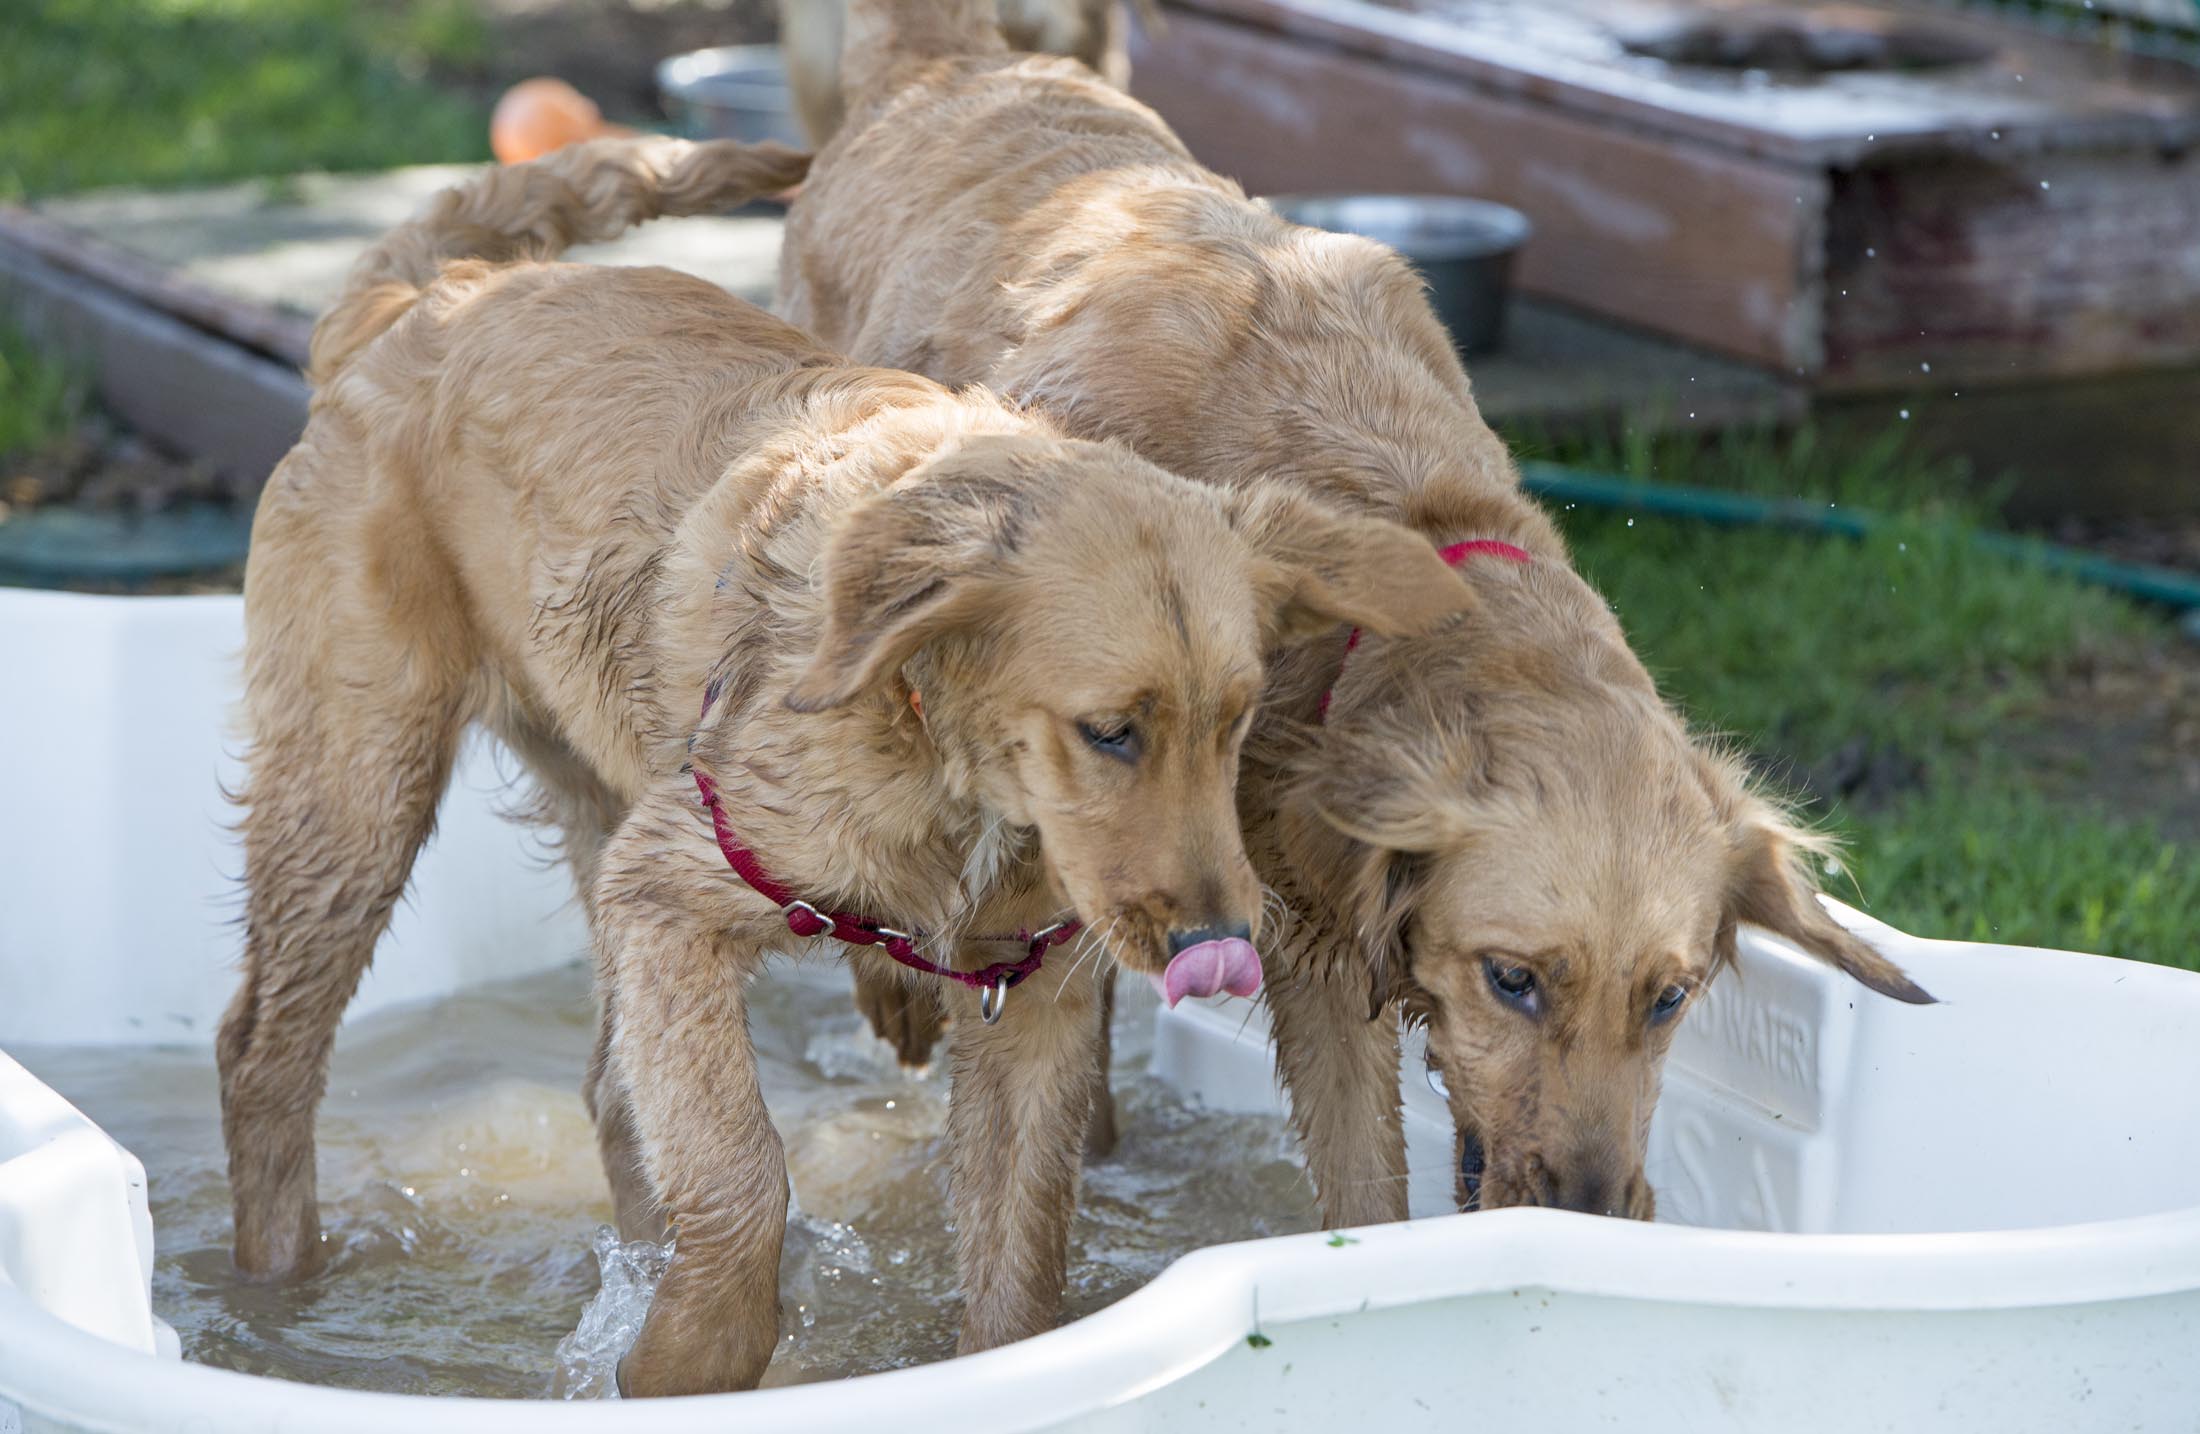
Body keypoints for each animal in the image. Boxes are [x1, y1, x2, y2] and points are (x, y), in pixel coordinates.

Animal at [215, 133, 1475, 1394]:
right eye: (1110, 732)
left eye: (1237, 723)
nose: (1217, 948)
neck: (945, 758)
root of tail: (429, 297)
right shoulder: (677, 885)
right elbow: (741, 1167)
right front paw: (687, 1360)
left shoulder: (1027, 991)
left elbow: (1020, 1252)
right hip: (356, 788)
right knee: (262, 1056)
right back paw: (273, 1296)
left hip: (591, 791)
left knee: (610, 1094)